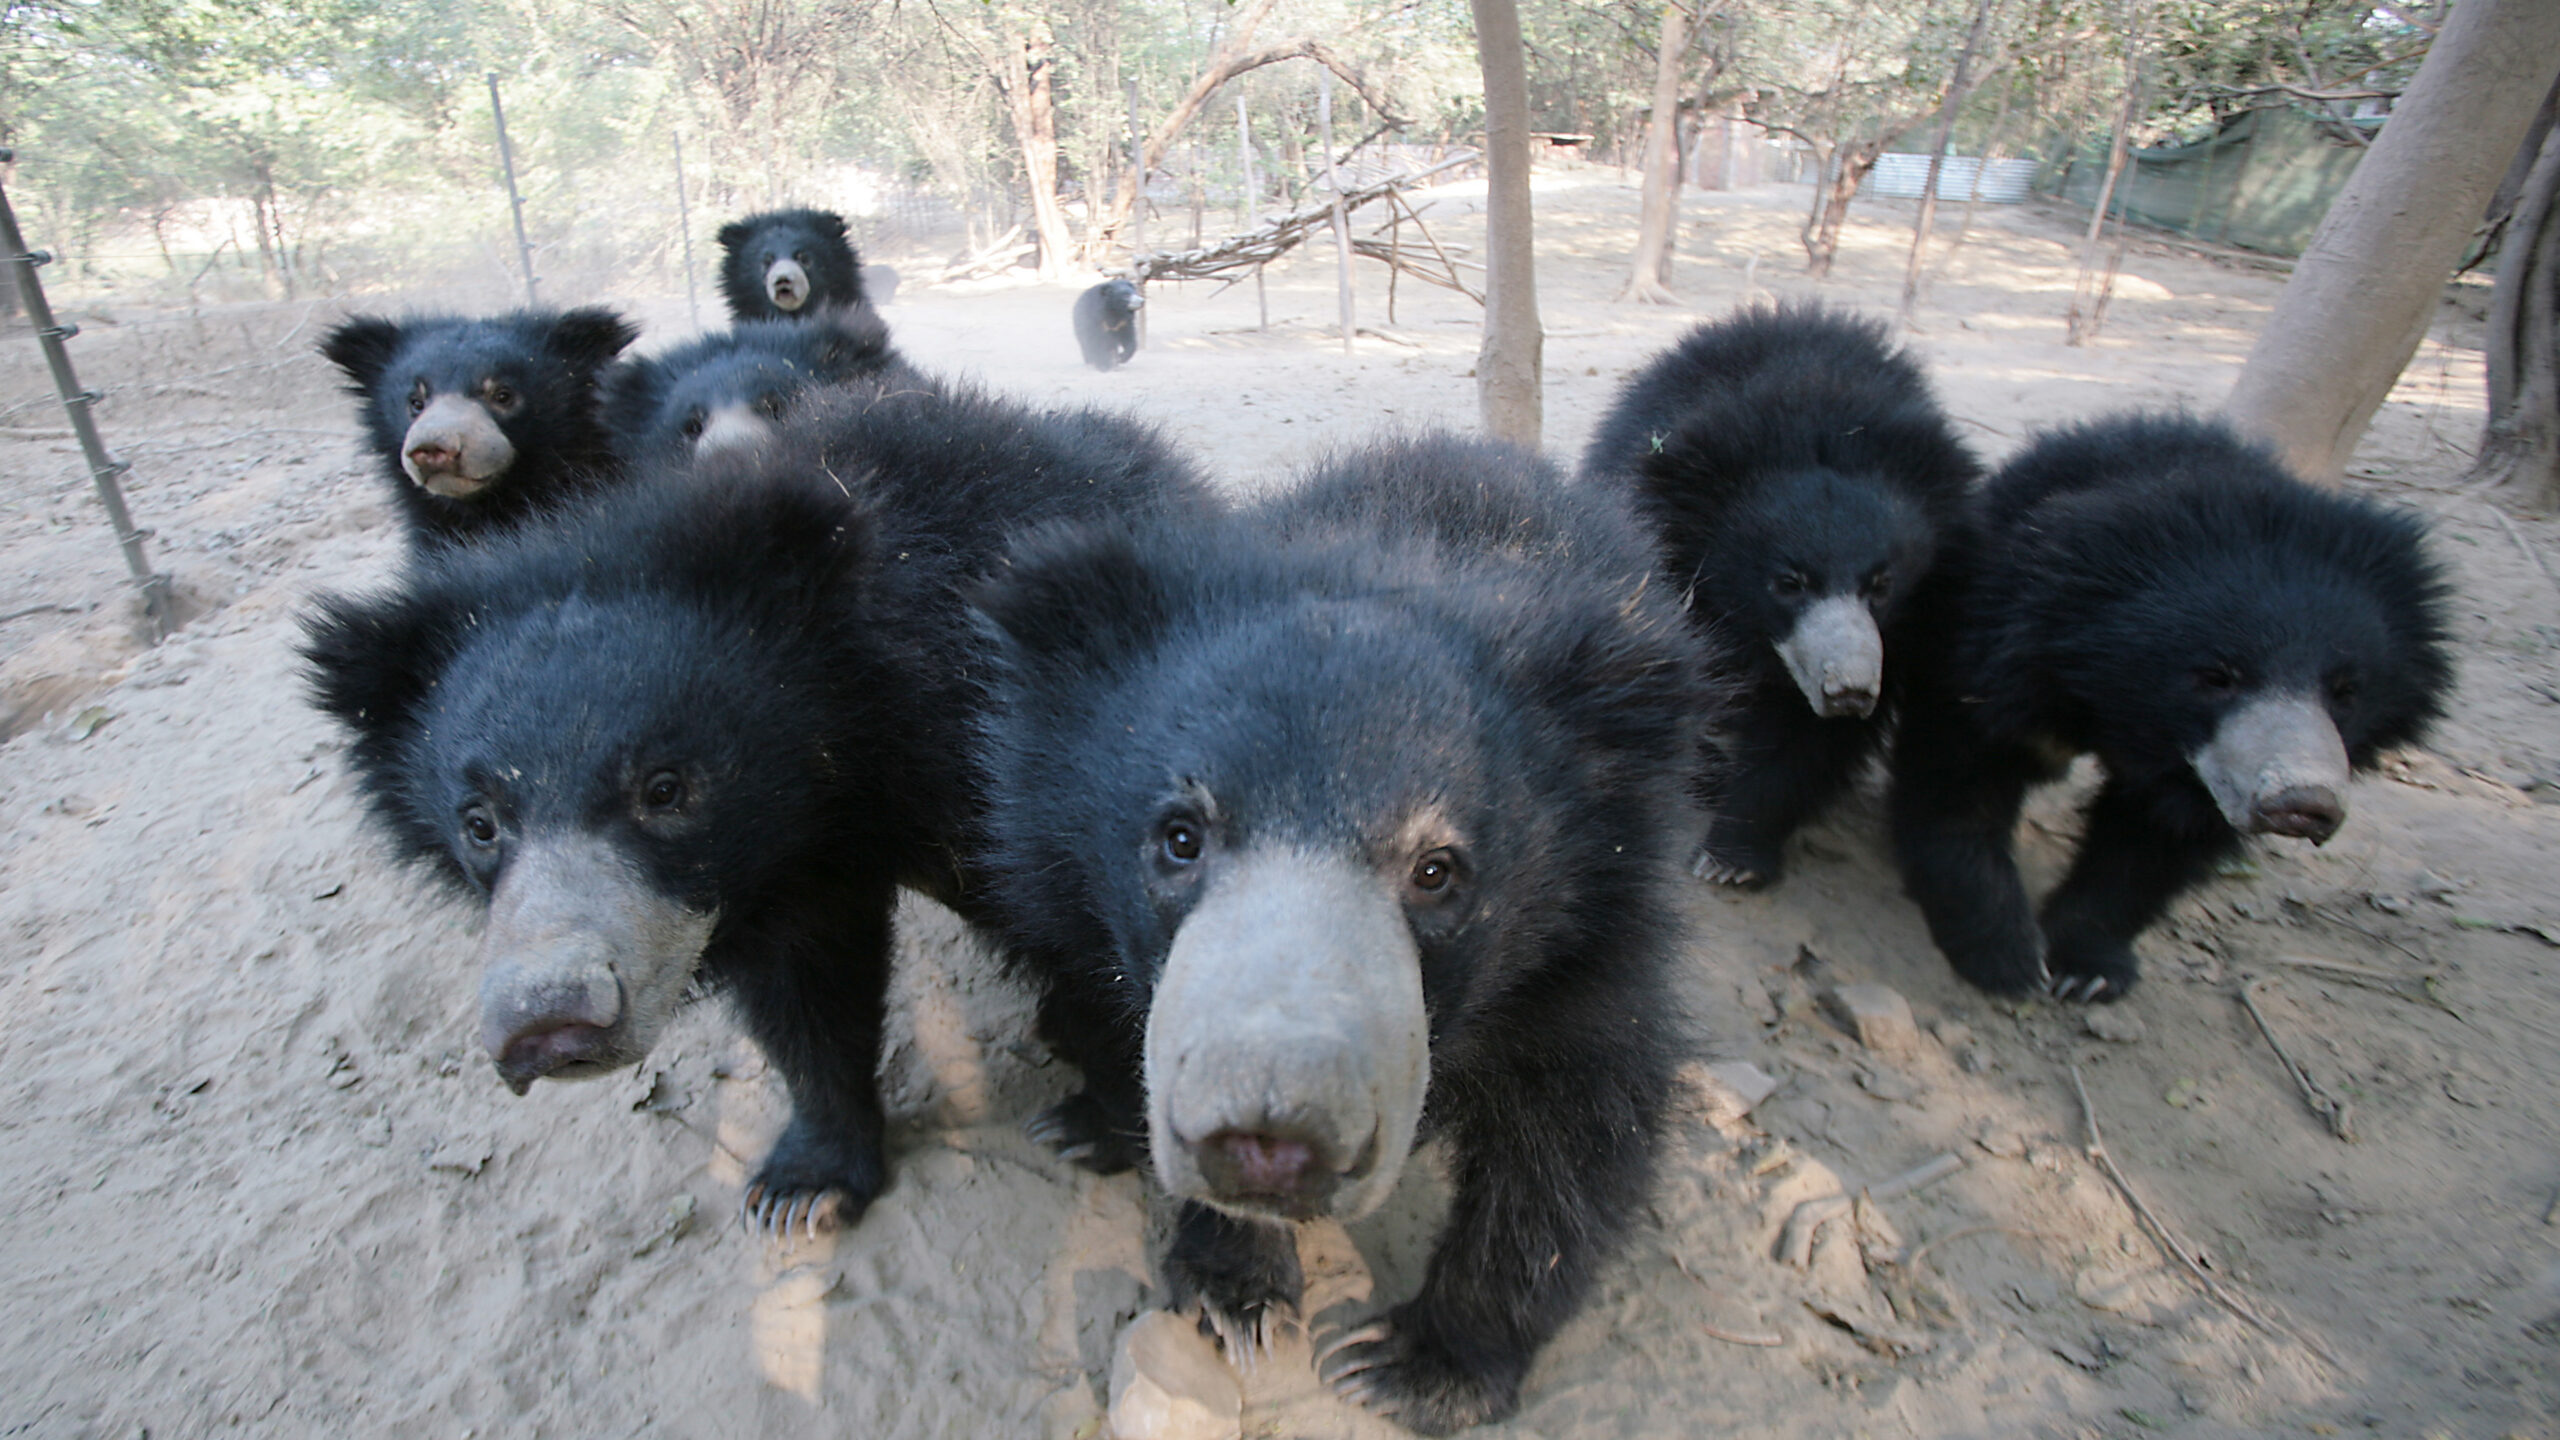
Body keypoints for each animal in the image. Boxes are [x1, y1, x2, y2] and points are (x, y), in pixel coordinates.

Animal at [303, 375, 1211, 1237]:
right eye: (481, 823)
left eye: (666, 789)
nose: (547, 1024)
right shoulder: (783, 873)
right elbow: (805, 1000)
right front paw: (804, 1188)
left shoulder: (1020, 792)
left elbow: (1105, 956)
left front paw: (1094, 1127)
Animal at [971, 433, 1715, 1433]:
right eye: (1180, 837)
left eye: (1437, 870)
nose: (1271, 1136)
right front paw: (1236, 1298)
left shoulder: (1592, 959)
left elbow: (1576, 1138)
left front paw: (1416, 1366)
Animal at [1579, 301, 1980, 887]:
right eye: (1788, 583)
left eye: (1881, 584)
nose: (1849, 691)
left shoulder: (1908, 626)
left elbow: (1807, 741)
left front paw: (1731, 858)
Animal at [1889, 413, 2454, 1001]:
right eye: (2216, 677)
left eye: (2346, 691)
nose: (2303, 803)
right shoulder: (1994, 654)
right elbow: (1963, 779)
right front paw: (2008, 957)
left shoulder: (2202, 777)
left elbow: (2154, 847)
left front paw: (2085, 967)